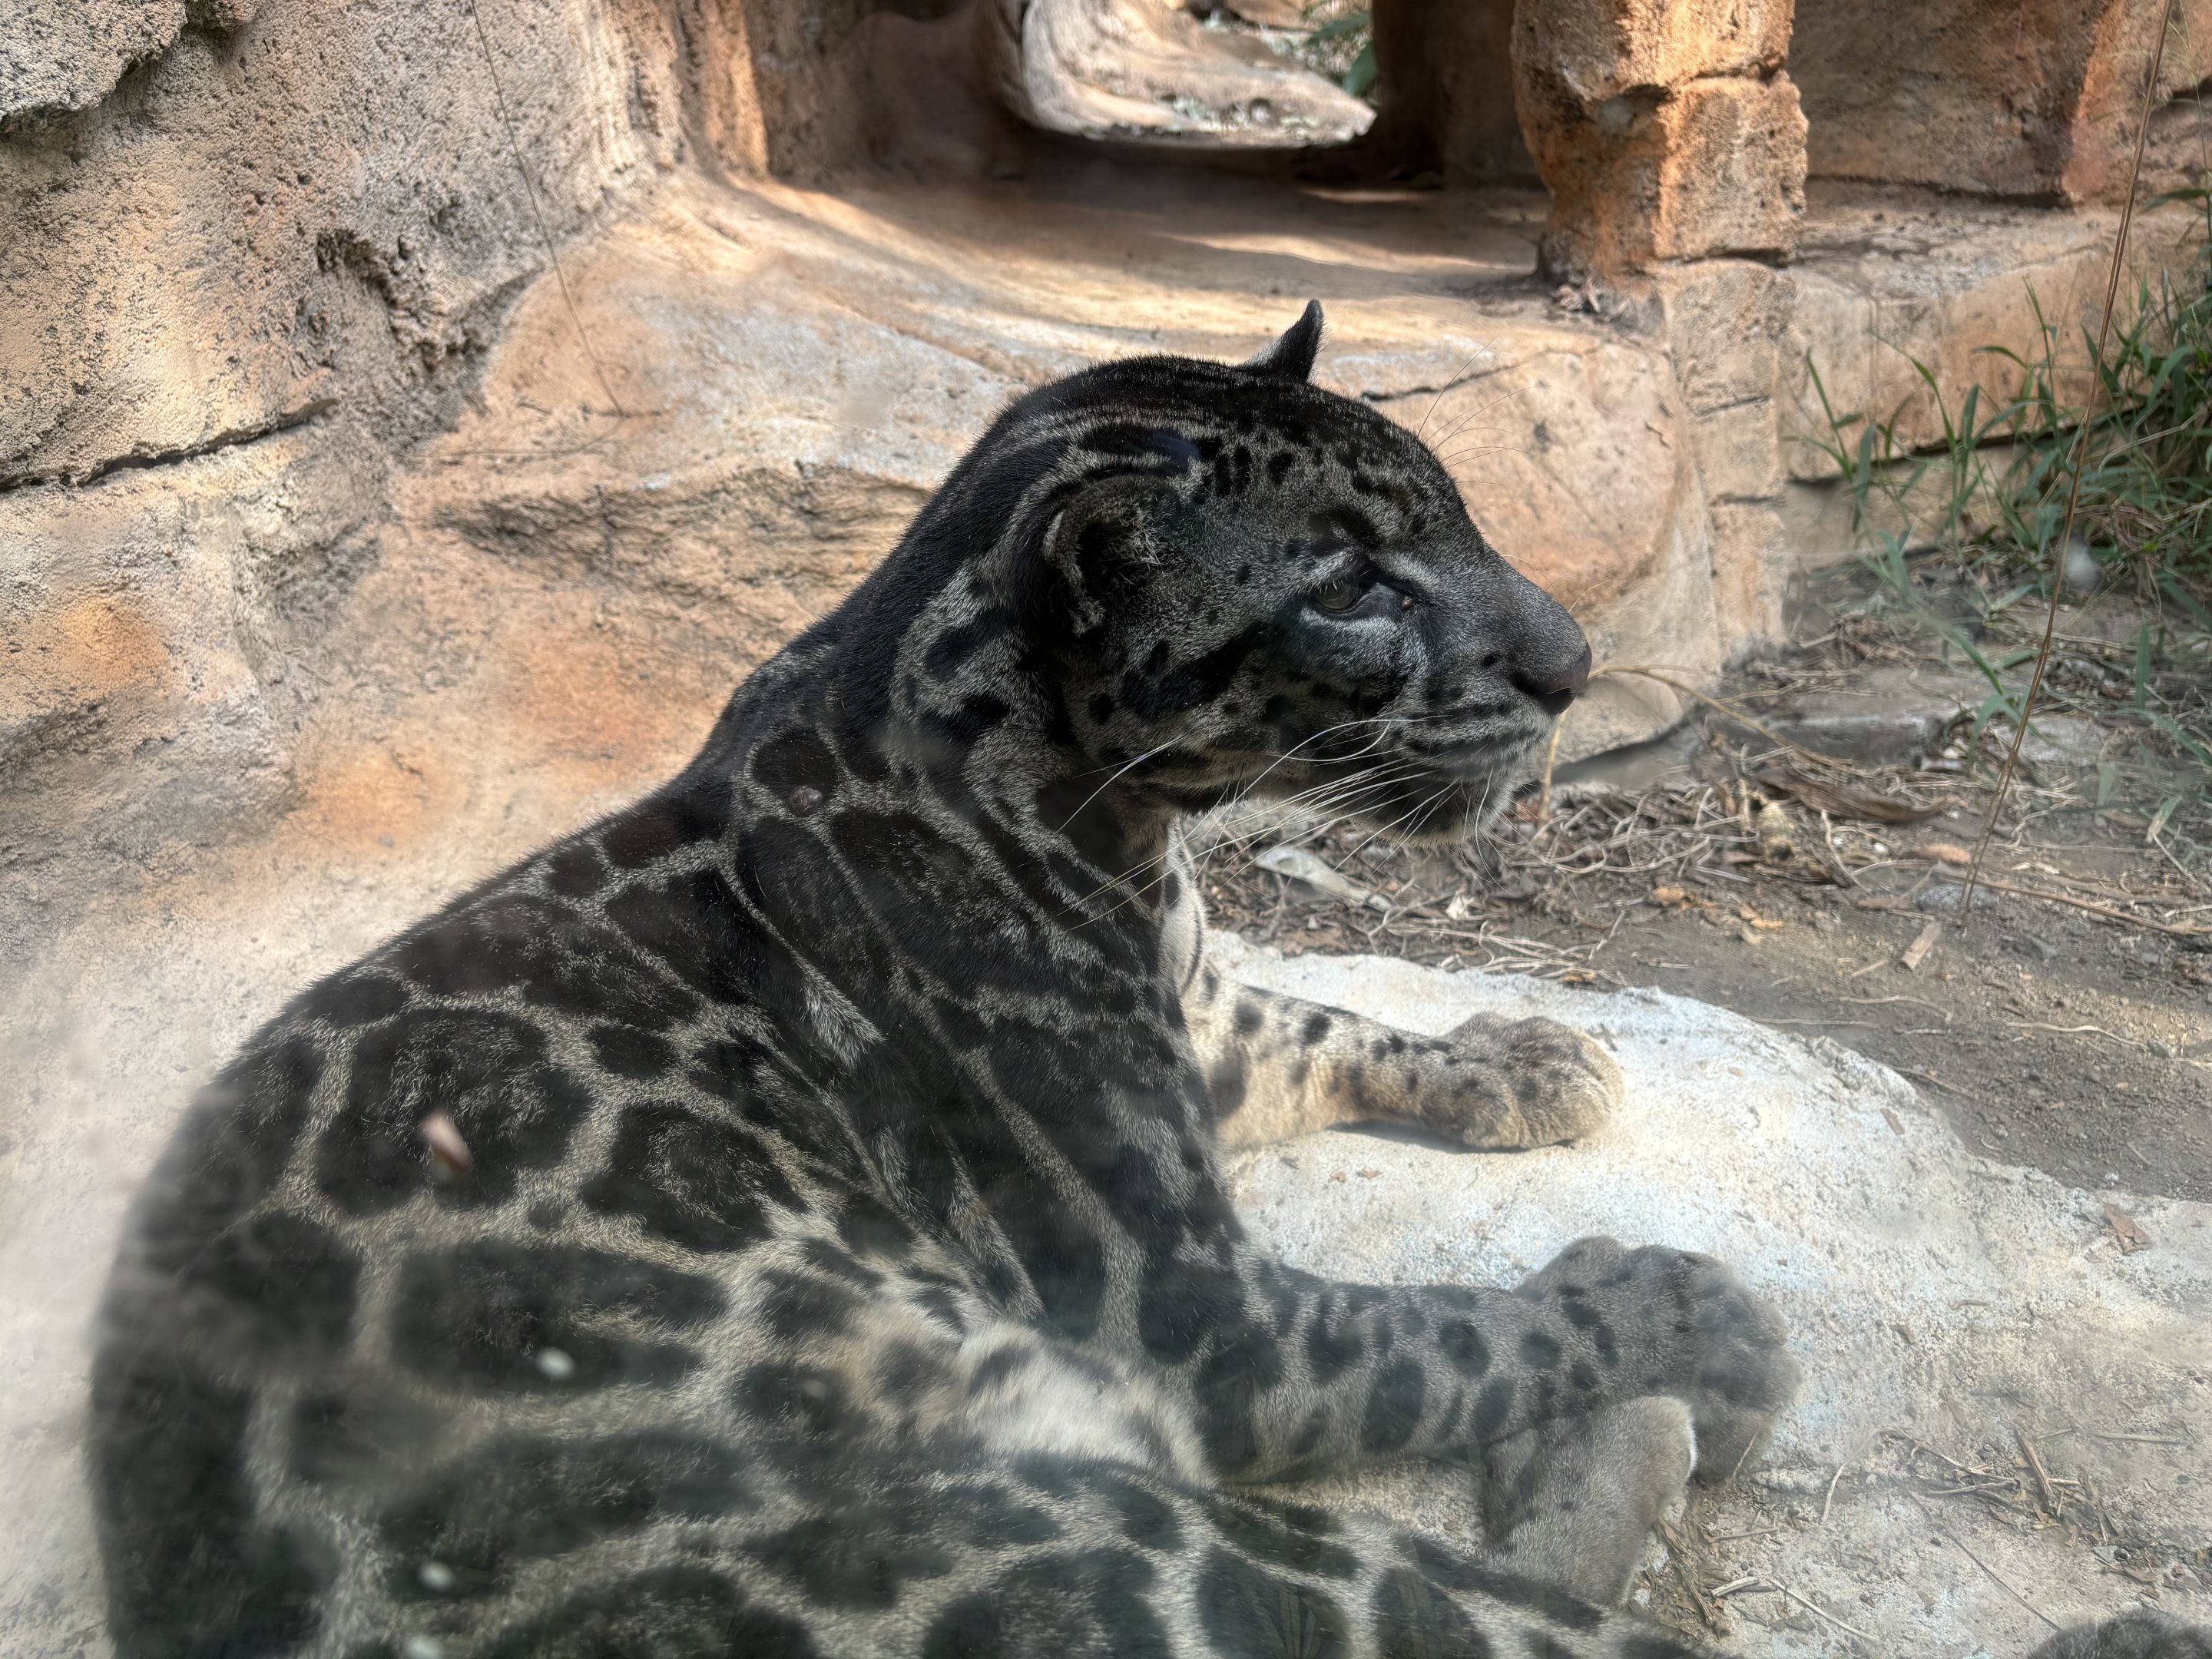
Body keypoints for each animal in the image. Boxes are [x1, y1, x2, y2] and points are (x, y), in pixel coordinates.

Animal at [89, 302, 2210, 1659]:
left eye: (1455, 516)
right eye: (1351, 586)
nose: (1575, 666)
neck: (1113, 820)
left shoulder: (1194, 1018)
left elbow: (1323, 1012)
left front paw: (1528, 1055)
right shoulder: (1200, 1313)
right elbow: (1463, 1326)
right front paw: (1659, 1295)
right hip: (1131, 1546)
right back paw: (1692, 1404)